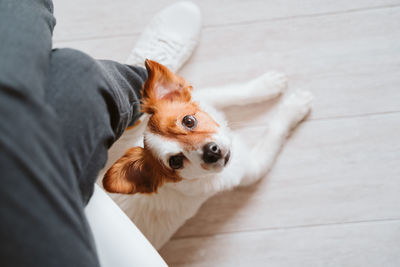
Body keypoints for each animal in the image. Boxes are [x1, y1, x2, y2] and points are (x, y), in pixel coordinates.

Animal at [101, 59, 314, 250]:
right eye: (175, 162)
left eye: (188, 121)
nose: (211, 152)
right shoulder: (251, 168)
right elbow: (274, 130)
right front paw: (294, 107)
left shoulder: (206, 97)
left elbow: (233, 92)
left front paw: (267, 84)